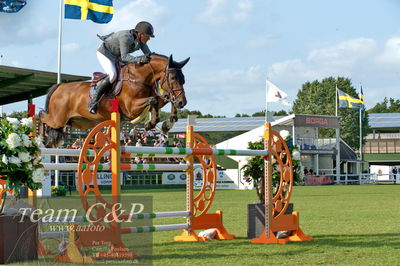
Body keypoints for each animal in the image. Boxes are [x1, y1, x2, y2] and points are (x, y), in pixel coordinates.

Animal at [39, 53, 190, 148]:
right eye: (173, 78)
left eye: (183, 79)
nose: (182, 102)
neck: (138, 77)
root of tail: (59, 87)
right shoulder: (131, 108)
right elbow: (153, 101)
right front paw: (152, 123)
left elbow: (162, 100)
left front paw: (167, 122)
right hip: (58, 119)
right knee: (42, 116)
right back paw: (41, 139)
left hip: (79, 122)